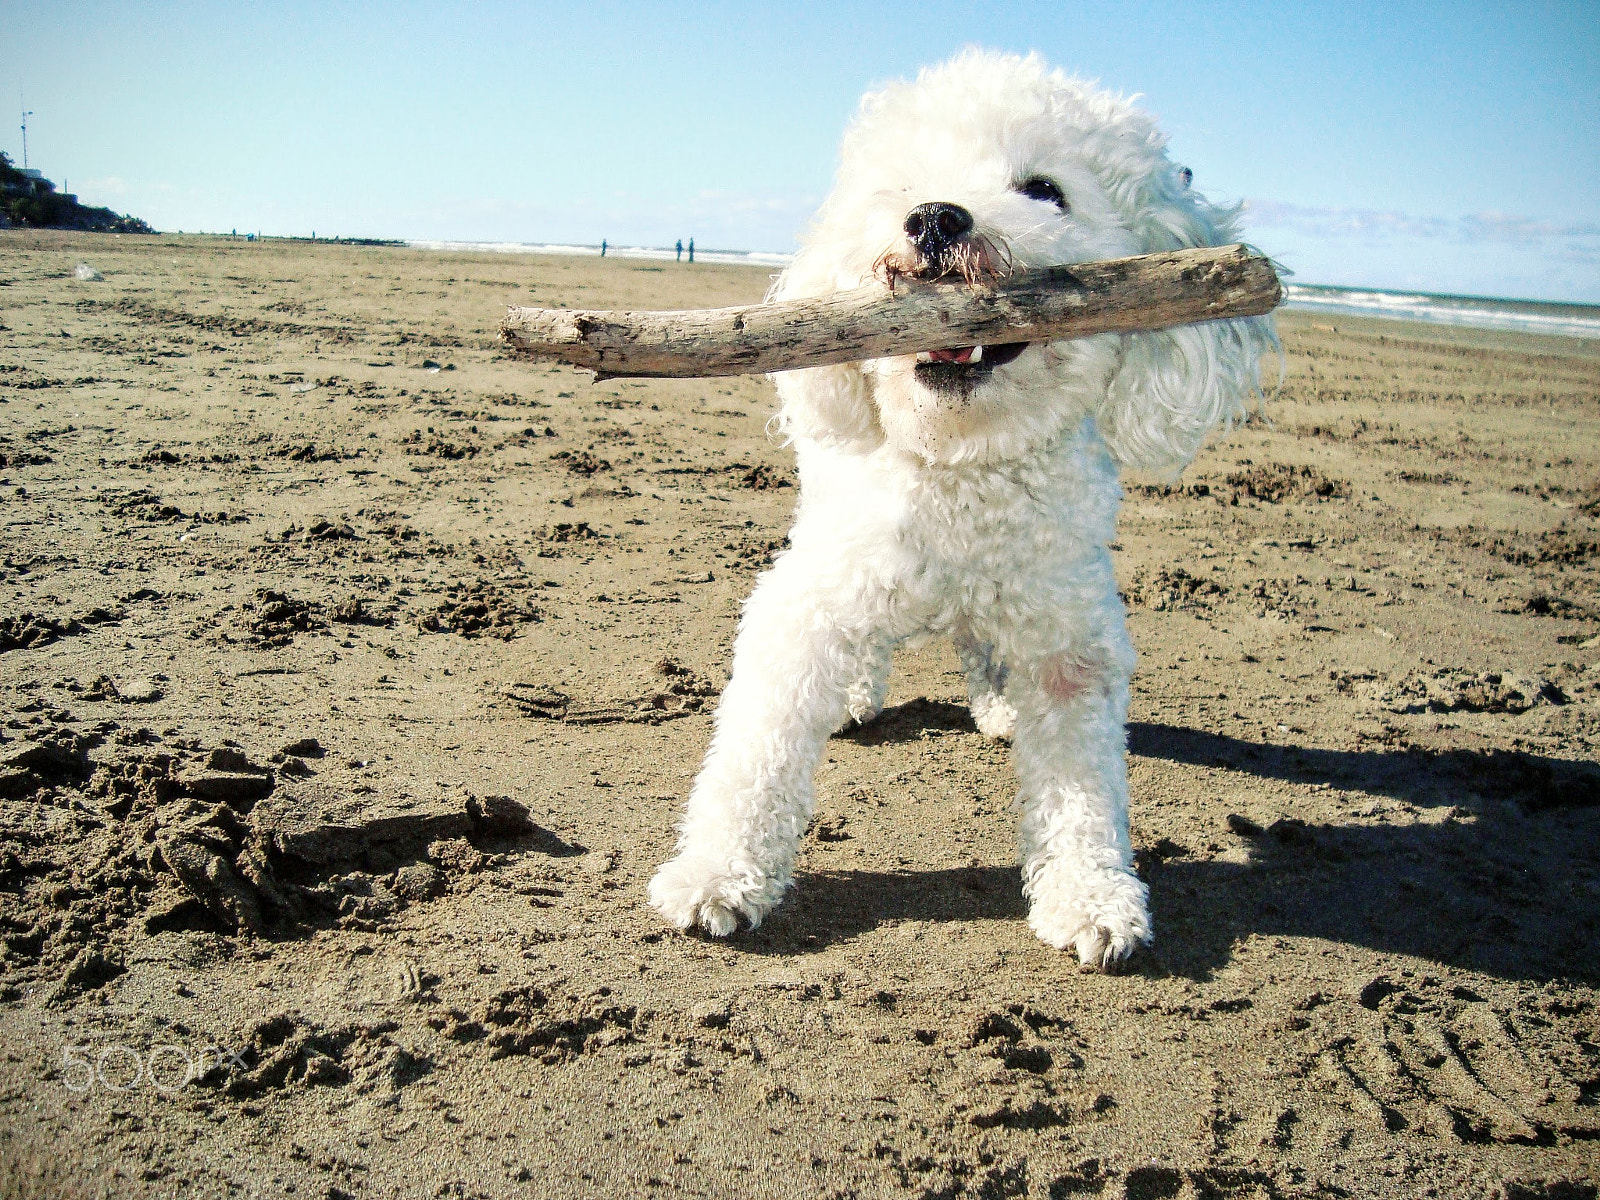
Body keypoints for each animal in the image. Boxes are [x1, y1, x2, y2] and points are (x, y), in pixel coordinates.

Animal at [643, 47, 1267, 972]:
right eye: (903, 185)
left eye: (1045, 189)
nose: (935, 218)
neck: (963, 470)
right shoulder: (806, 605)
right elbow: (756, 754)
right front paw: (717, 875)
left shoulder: (1071, 638)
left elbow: (1083, 791)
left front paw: (1093, 897)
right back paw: (858, 694)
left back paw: (998, 704)